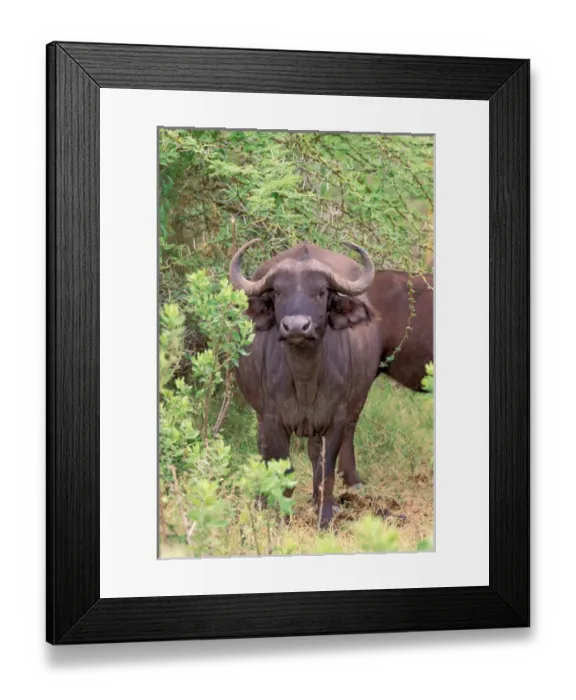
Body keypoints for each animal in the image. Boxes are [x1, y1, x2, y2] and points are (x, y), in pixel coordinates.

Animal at [229, 239, 382, 528]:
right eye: (278, 292)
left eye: (321, 292)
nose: (297, 327)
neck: (305, 381)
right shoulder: (273, 419)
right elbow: (283, 468)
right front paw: (282, 515)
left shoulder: (335, 419)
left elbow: (326, 471)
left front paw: (326, 516)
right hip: (260, 416)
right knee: (264, 449)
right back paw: (262, 500)